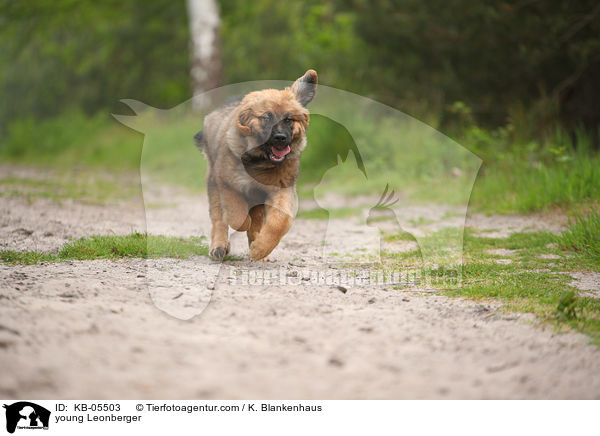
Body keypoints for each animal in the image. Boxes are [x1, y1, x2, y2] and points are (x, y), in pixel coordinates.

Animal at [197, 68, 318, 258]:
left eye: (289, 120)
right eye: (266, 118)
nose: (280, 138)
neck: (261, 162)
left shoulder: (282, 190)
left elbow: (279, 221)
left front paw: (260, 248)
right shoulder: (228, 185)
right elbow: (236, 215)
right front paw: (244, 227)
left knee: (257, 219)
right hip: (214, 184)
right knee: (219, 219)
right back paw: (219, 246)